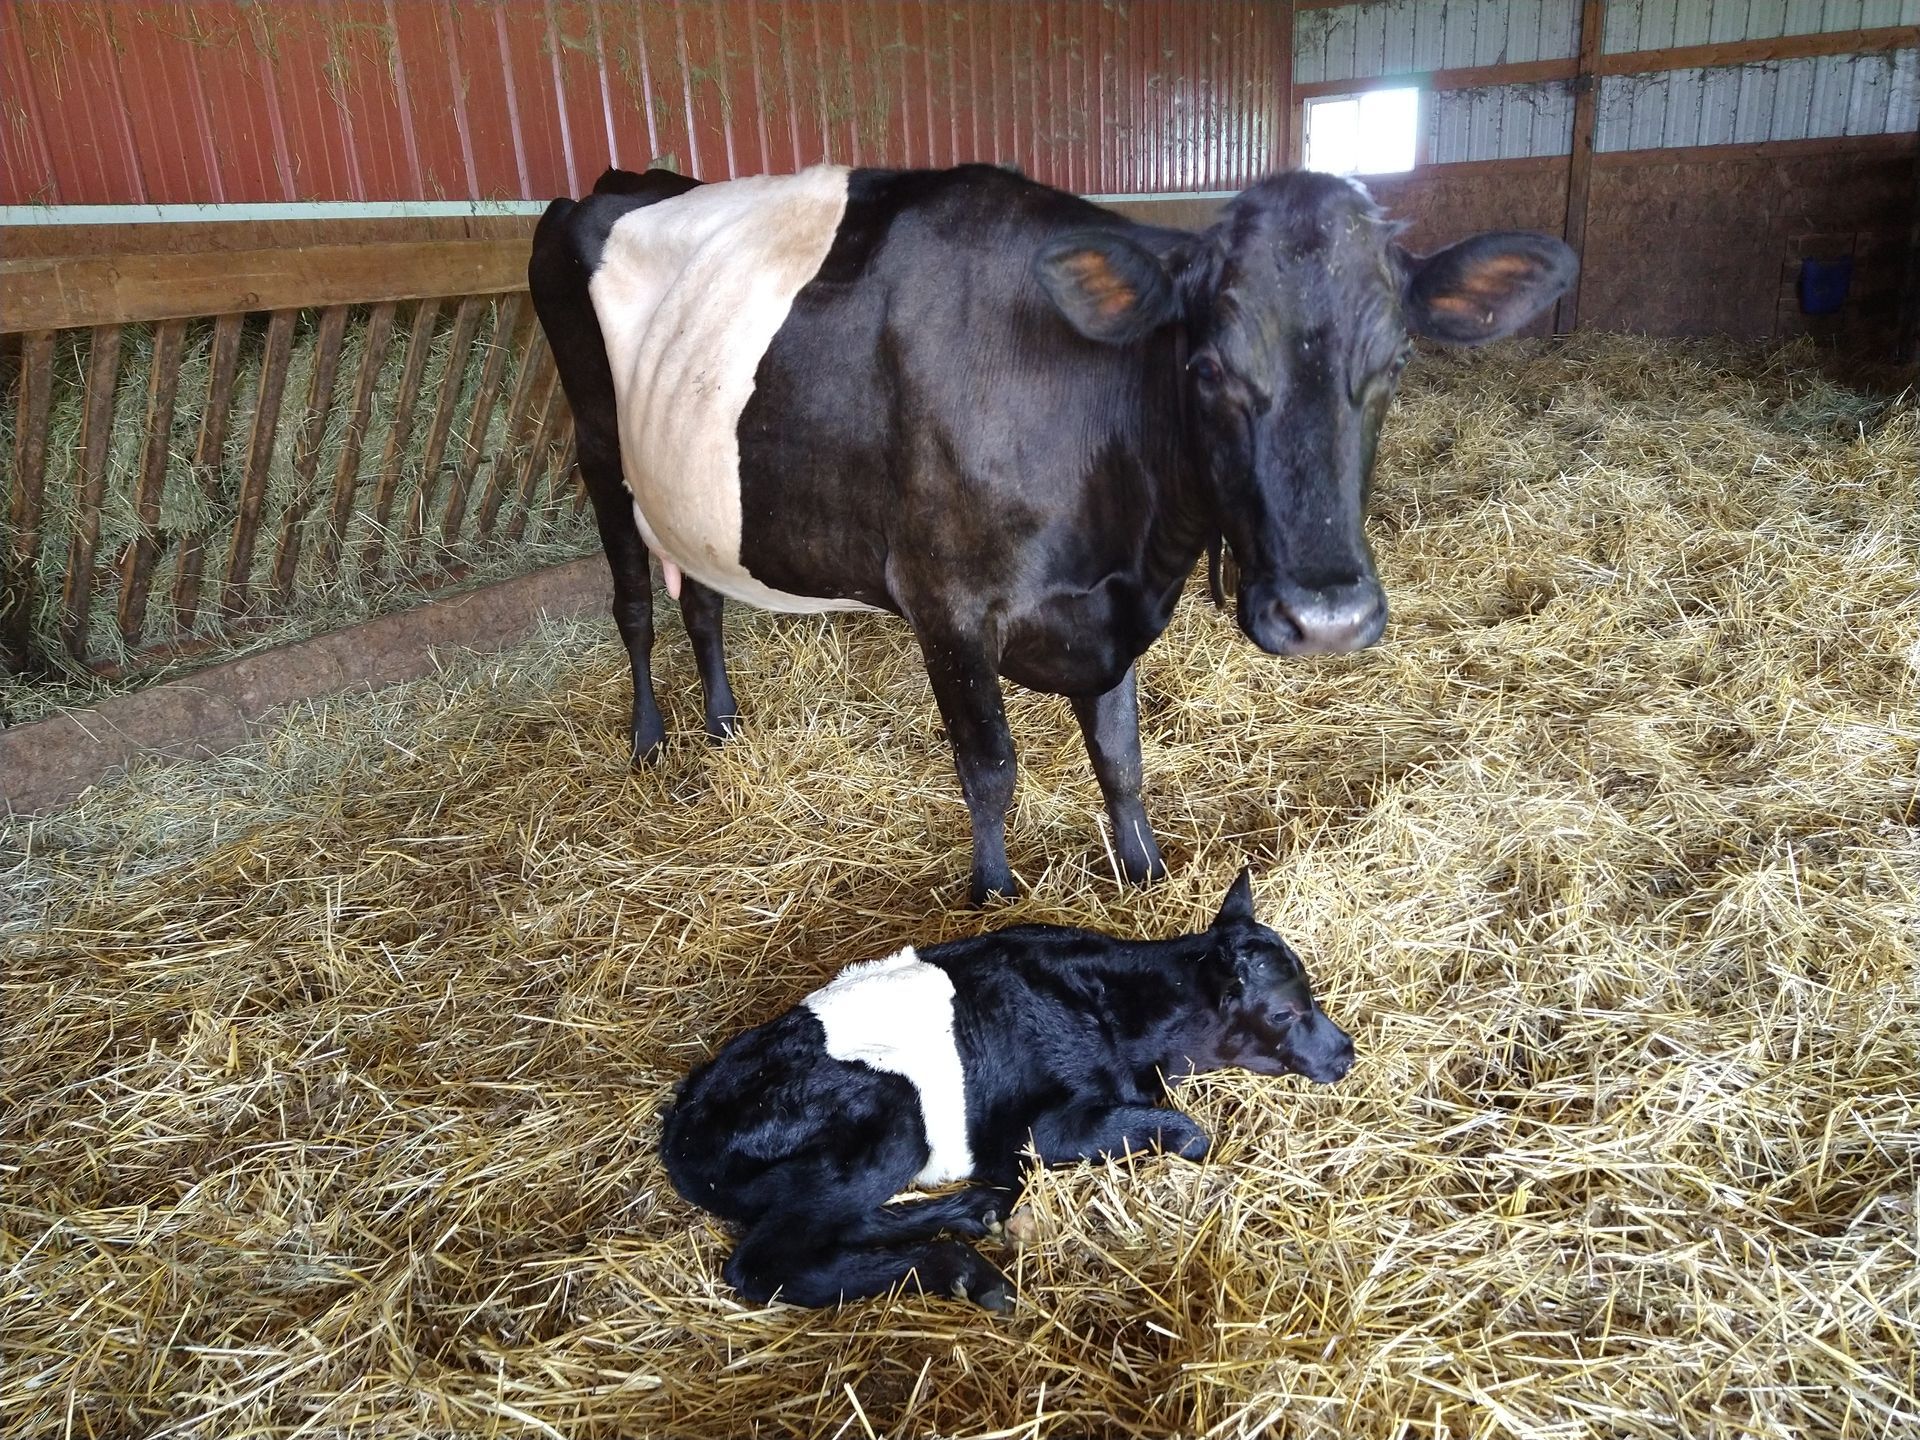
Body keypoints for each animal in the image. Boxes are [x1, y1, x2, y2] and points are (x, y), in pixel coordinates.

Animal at [528, 163, 1576, 903]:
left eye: (1396, 360)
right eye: (1205, 366)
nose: (1327, 618)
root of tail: (621, 181)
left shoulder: (1109, 611)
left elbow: (1121, 759)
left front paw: (1145, 874)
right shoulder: (945, 602)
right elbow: (990, 767)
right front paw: (994, 895)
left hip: (687, 498)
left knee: (701, 602)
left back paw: (722, 725)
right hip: (598, 451)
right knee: (635, 606)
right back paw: (650, 739)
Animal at [659, 869, 1355, 1310]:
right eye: (1286, 1011)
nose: (1346, 1053)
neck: (1122, 1013)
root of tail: (683, 1127)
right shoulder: (1035, 1132)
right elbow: (1188, 1132)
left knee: (840, 1225)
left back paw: (979, 1213)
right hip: (890, 1119)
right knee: (766, 1264)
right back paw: (968, 1272)